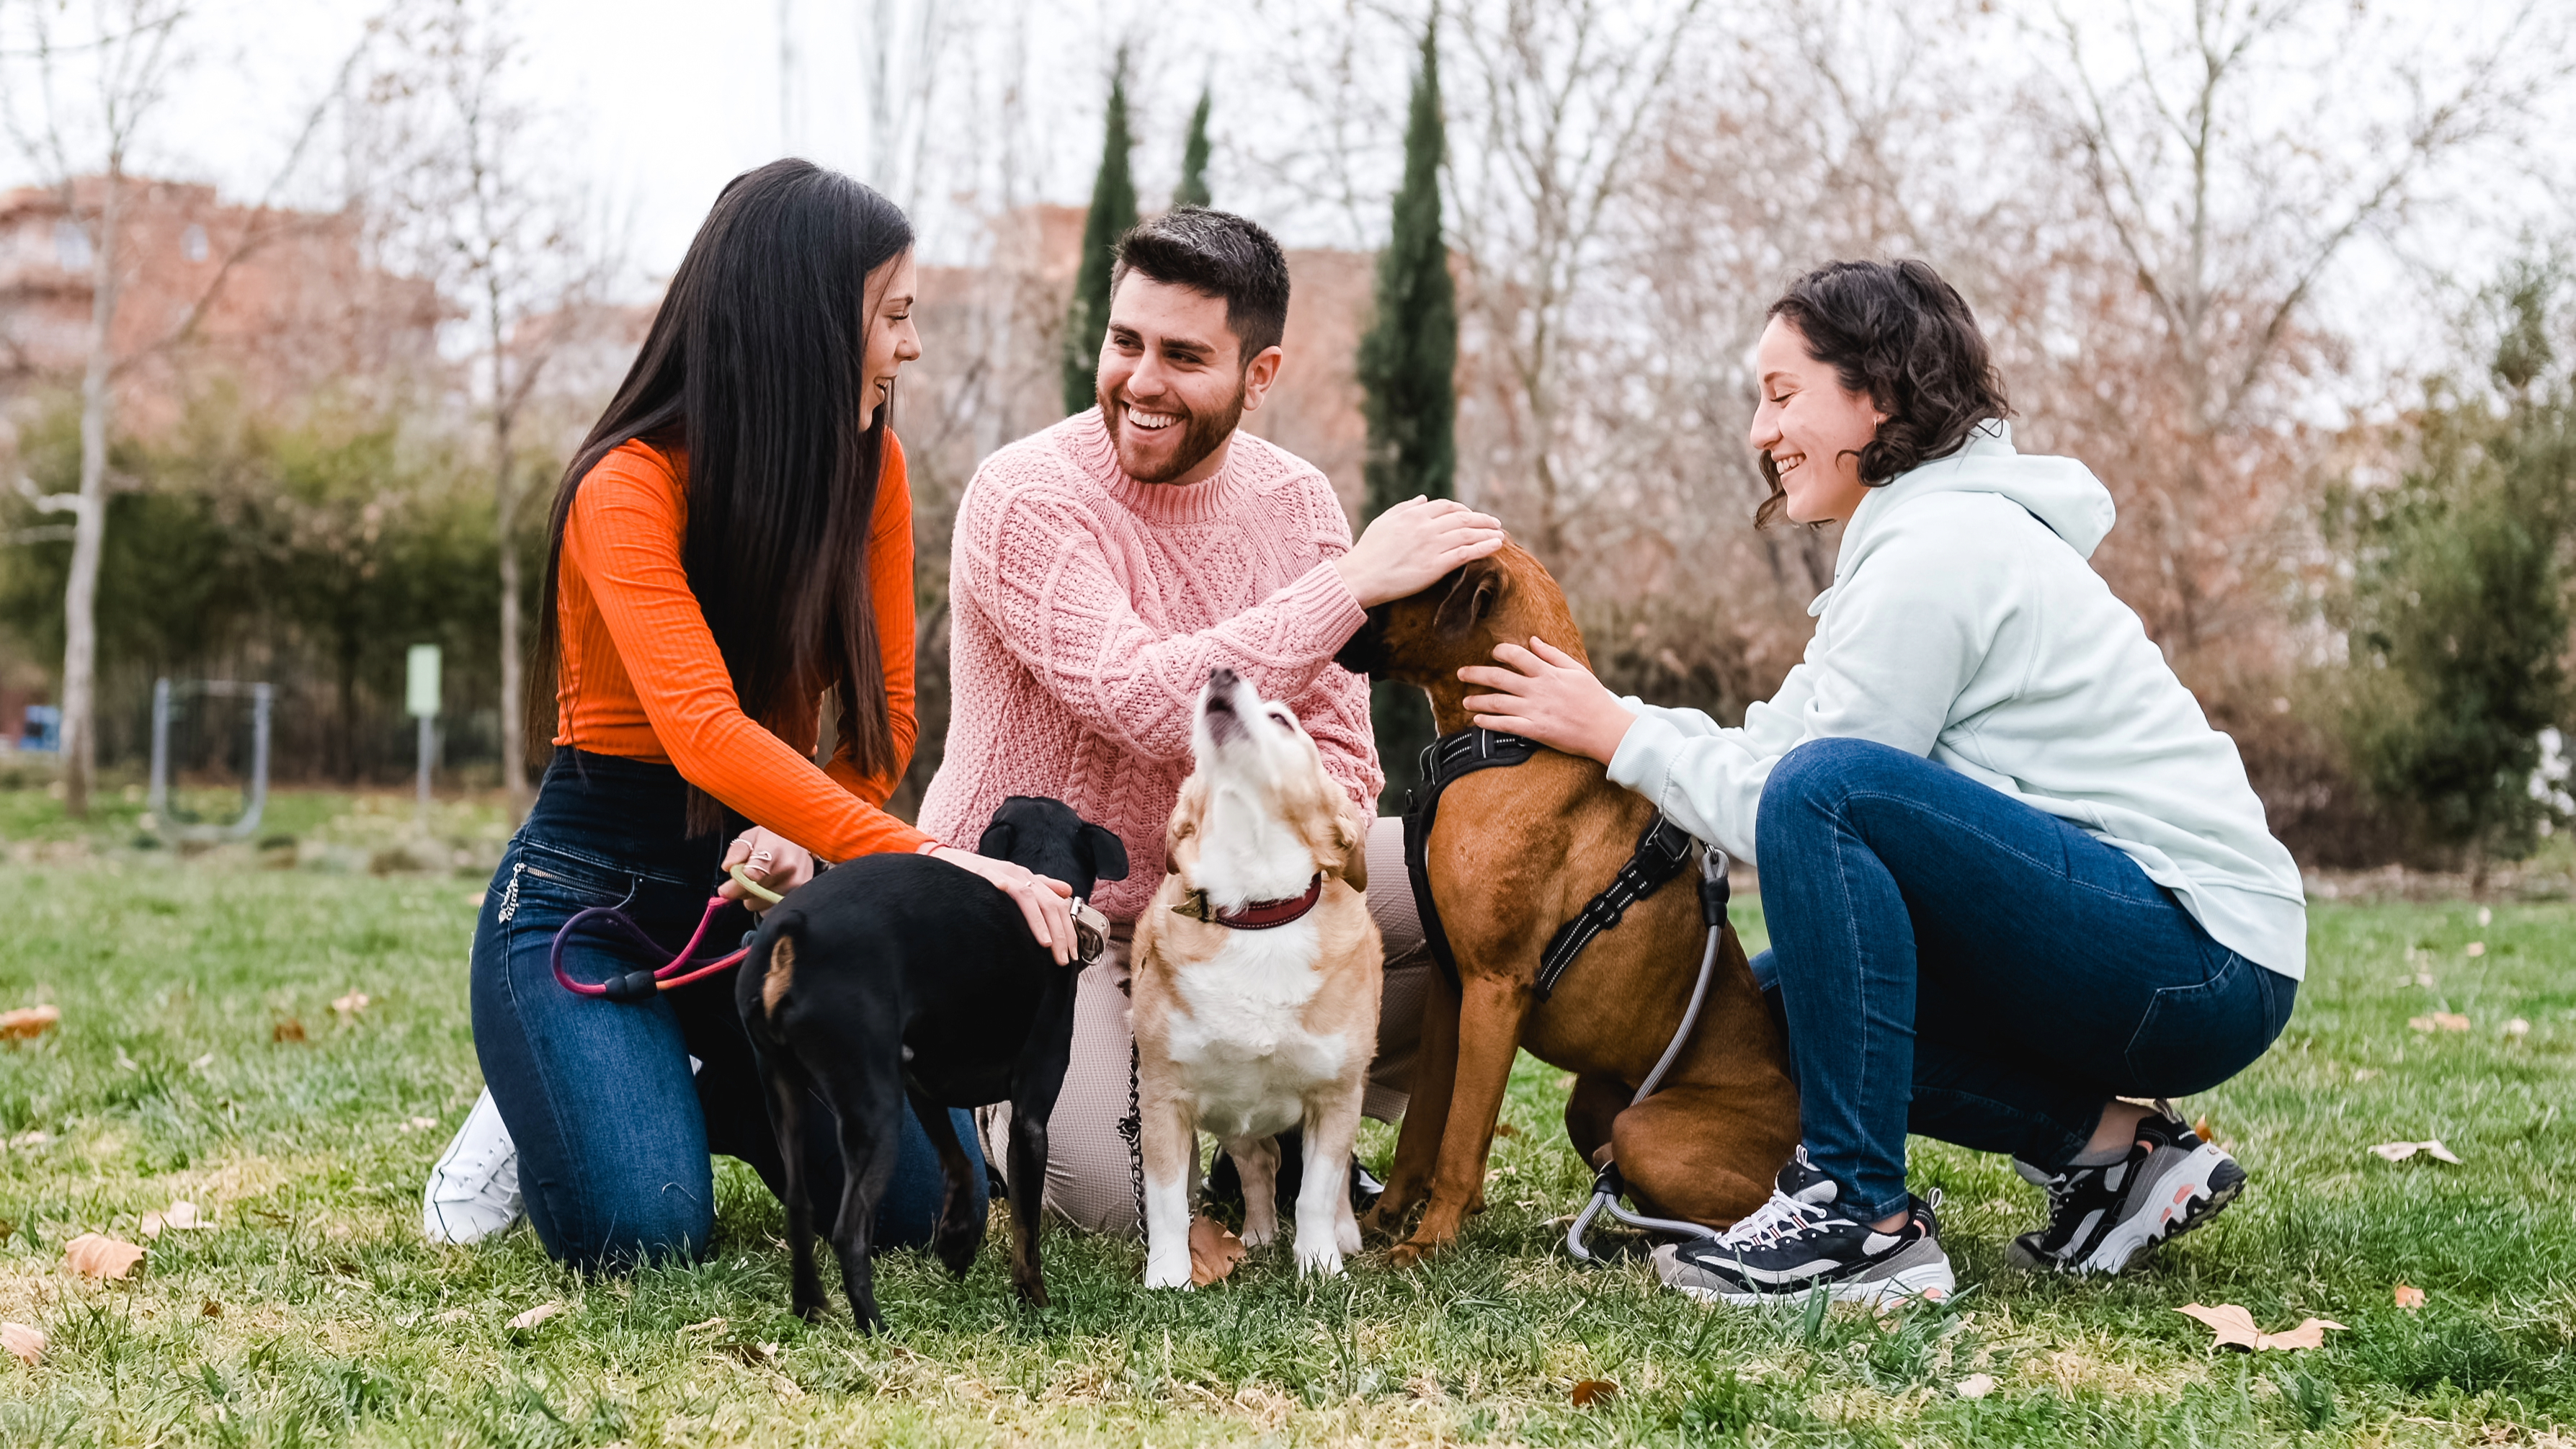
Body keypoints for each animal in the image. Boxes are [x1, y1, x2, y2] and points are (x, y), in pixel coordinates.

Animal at [731, 798, 1123, 1328]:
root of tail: (793, 931)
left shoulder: (924, 1086)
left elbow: (959, 1163)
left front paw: (957, 1243)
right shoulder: (1029, 1118)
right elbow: (1027, 1228)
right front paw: (1035, 1301)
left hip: (785, 1092)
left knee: (798, 1206)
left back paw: (810, 1307)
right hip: (875, 1111)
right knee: (848, 1230)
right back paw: (873, 1326)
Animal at [1138, 664, 1391, 1286]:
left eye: (1282, 719)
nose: (1220, 669)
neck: (1256, 909)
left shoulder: (1335, 1097)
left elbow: (1316, 1193)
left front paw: (1319, 1263)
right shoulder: (1163, 1100)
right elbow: (1166, 1203)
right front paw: (1168, 1275)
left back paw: (1340, 1234)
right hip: (1234, 1119)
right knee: (1260, 1161)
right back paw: (1256, 1233)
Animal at [1340, 545, 1803, 1271]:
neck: (1508, 744)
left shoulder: (1494, 991)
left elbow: (1461, 1137)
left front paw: (1431, 1239)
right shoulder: (1452, 989)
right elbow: (1421, 1128)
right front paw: (1386, 1220)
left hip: (1640, 1130)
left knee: (1707, 1208)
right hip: (1590, 1107)